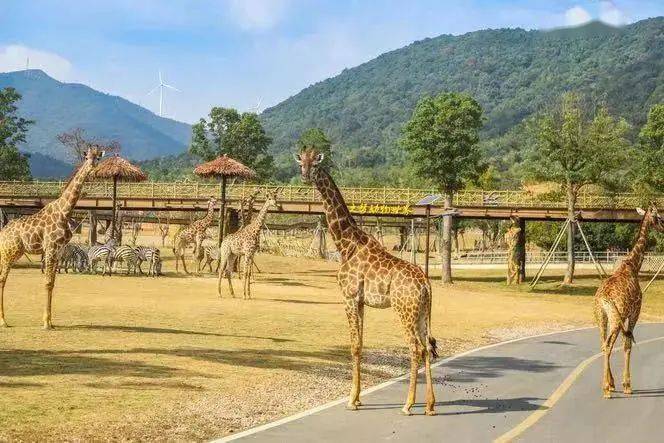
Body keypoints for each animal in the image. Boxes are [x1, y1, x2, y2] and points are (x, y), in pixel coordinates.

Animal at [0, 147, 104, 330]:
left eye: (97, 158)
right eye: (86, 157)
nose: (92, 168)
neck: (64, 212)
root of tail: (2, 233)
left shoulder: (59, 251)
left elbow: (53, 283)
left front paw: (50, 322)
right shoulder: (50, 248)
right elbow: (47, 282)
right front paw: (46, 323)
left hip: (13, 253)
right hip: (9, 253)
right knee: (2, 280)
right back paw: (4, 321)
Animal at [296, 149, 440, 416]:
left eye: (316, 165)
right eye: (301, 162)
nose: (305, 176)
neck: (346, 244)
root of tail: (426, 283)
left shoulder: (349, 297)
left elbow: (353, 346)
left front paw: (351, 401)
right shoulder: (361, 302)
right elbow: (361, 344)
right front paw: (357, 398)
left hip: (404, 310)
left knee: (416, 348)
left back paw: (408, 405)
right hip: (423, 313)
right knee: (428, 348)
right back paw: (430, 405)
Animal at [592, 205, 660, 398]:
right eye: (659, 217)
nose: (663, 227)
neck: (633, 265)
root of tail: (603, 299)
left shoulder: (624, 316)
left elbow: (624, 343)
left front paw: (618, 383)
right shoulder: (635, 311)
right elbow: (627, 344)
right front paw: (627, 385)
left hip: (601, 317)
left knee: (603, 343)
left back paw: (608, 385)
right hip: (616, 318)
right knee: (608, 345)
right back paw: (606, 389)